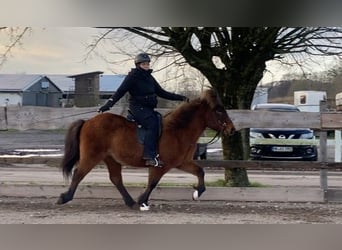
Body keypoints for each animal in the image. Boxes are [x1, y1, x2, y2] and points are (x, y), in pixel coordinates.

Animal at [56, 89, 235, 210]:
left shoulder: (183, 162)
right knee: (79, 173)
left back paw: (130, 202)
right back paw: (64, 197)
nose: (232, 130)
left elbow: (200, 172)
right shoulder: (162, 165)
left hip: (111, 158)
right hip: (91, 155)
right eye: (219, 110)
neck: (178, 131)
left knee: (116, 179)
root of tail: (87, 121)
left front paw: (197, 192)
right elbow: (153, 183)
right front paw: (143, 200)